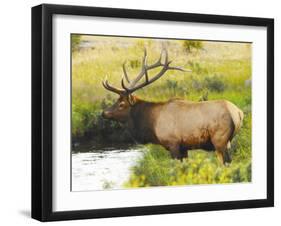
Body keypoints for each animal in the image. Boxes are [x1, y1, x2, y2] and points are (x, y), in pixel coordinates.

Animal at [101, 48, 243, 164]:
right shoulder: (184, 147)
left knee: (226, 162)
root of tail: (238, 113)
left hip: (220, 140)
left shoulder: (173, 143)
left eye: (121, 104)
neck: (152, 124)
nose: (103, 113)